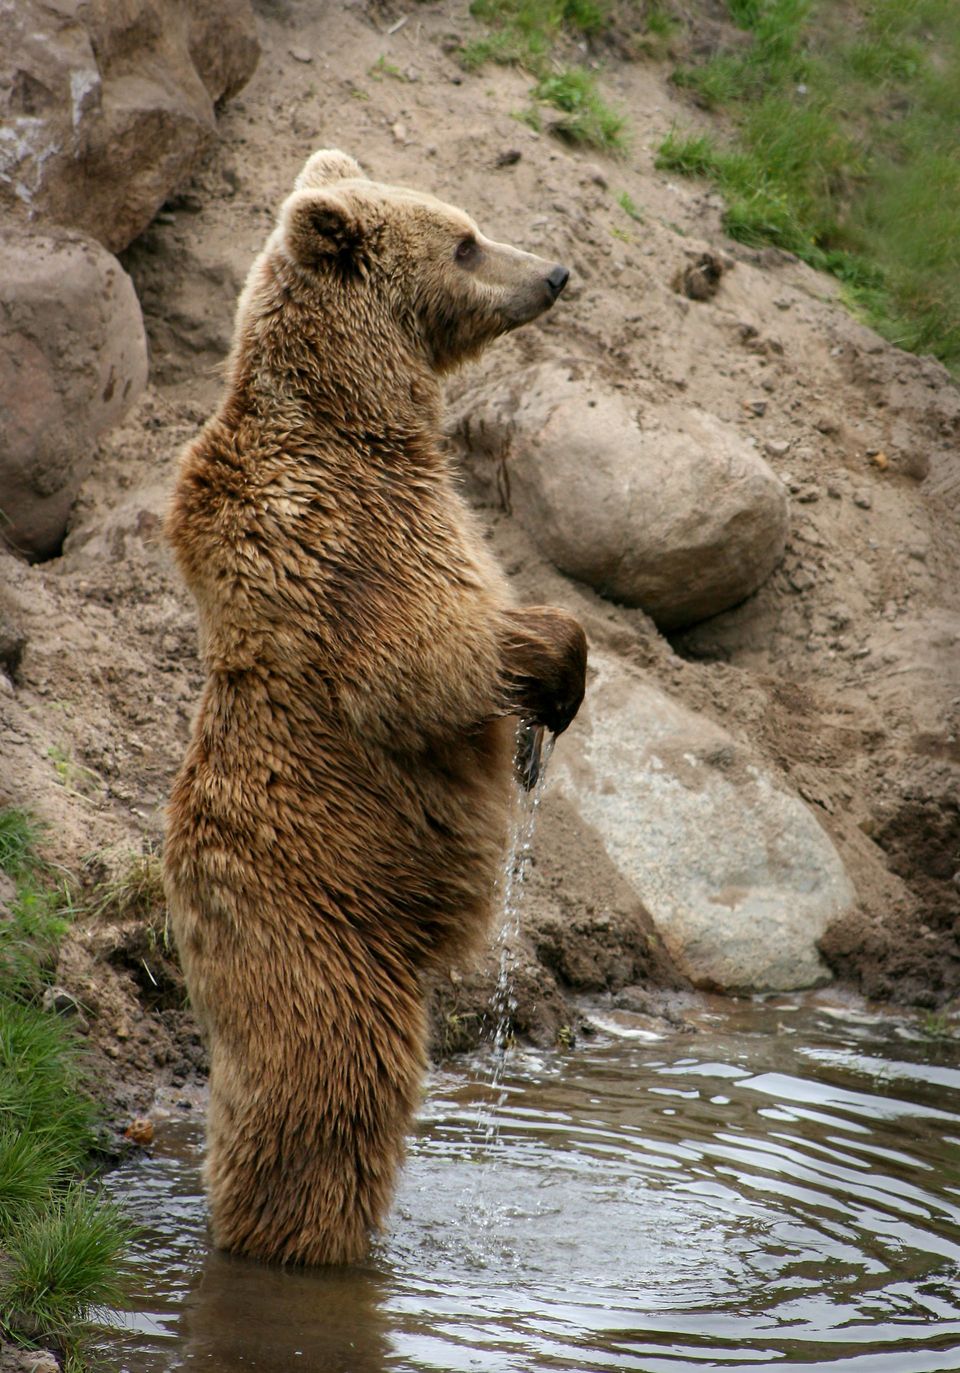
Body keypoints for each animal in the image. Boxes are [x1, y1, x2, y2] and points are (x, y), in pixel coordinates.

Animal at [163, 149, 587, 1266]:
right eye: (466, 242)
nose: (556, 271)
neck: (360, 414)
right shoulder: (350, 535)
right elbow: (418, 663)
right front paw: (556, 667)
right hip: (322, 936)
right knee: (334, 1093)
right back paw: (305, 1238)